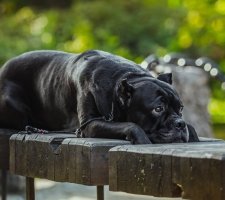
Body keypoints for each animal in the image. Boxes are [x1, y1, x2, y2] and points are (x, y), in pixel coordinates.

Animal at [0, 50, 199, 144]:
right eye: (158, 109)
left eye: (181, 108)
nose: (179, 124)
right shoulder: (90, 124)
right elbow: (130, 125)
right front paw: (142, 139)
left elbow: (192, 127)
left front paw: (190, 130)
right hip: (12, 101)